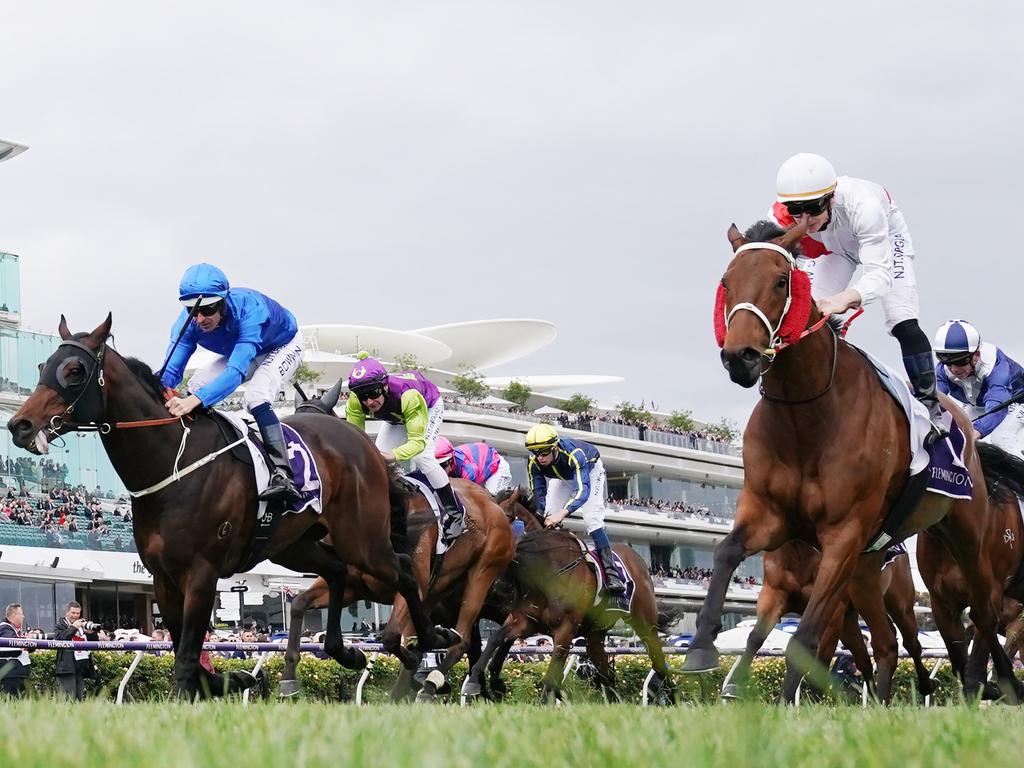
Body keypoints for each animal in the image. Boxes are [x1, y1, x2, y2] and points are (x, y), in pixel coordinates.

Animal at [4, 315, 452, 700]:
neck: (173, 464)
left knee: (403, 571)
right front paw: (232, 679)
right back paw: (349, 651)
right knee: (339, 570)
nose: (19, 425)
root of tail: (364, 444)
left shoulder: (202, 572)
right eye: (44, 364)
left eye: (74, 370)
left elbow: (186, 655)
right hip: (294, 545)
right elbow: (187, 651)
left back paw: (432, 642)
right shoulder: (164, 578)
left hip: (361, 537)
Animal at [462, 489, 671, 708]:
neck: (544, 571)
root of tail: (637, 559)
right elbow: (495, 638)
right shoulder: (526, 621)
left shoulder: (565, 630)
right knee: (608, 675)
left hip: (645, 624)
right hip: (595, 635)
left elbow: (551, 677)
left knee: (660, 664)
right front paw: (476, 682)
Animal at [724, 540, 933, 704]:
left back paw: (925, 684)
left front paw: (811, 701)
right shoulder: (773, 594)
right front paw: (733, 685)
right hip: (851, 619)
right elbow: (755, 637)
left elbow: (820, 658)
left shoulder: (832, 611)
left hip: (899, 602)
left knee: (911, 643)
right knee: (864, 658)